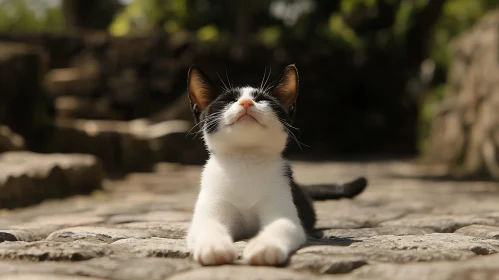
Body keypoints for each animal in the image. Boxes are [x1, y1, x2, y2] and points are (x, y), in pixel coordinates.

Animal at [187, 64, 368, 266]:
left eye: (262, 99)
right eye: (228, 100)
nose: (246, 103)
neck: (245, 160)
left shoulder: (284, 209)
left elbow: (281, 226)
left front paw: (265, 247)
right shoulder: (211, 207)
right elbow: (207, 226)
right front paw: (214, 246)